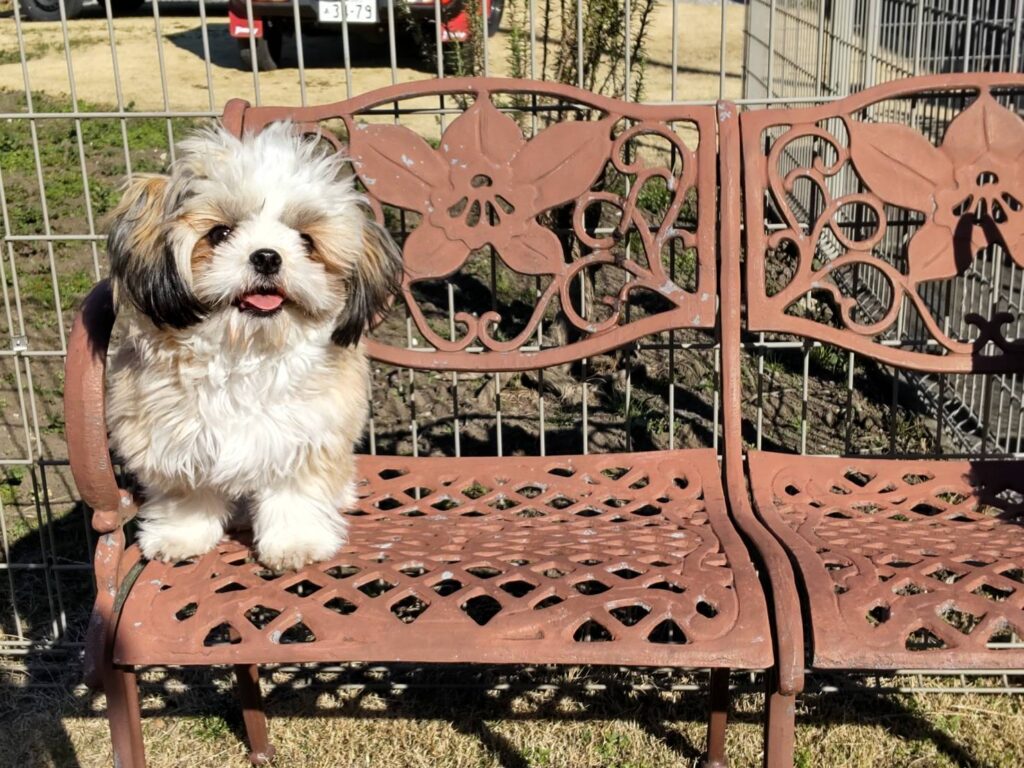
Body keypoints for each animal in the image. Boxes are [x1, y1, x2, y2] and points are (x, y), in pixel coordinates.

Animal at [104, 122, 402, 571]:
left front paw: (296, 543)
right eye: (220, 233)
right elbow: (186, 494)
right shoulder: (171, 438)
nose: (267, 257)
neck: (243, 355)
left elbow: (295, 496)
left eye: (306, 241)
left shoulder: (307, 438)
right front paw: (180, 536)